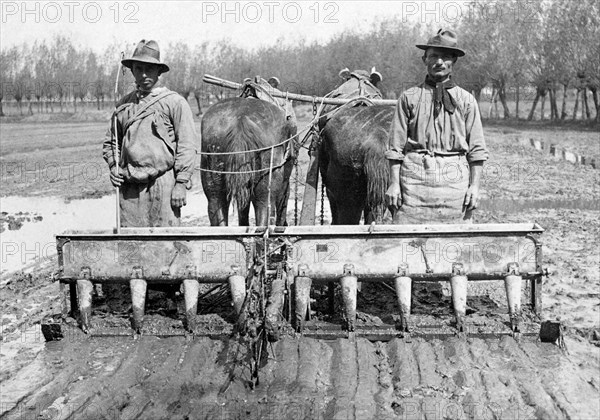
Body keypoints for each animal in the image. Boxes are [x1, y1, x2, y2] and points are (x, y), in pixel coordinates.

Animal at [200, 97, 296, 226]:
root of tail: (241, 119)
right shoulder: (284, 182)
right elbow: (283, 203)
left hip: (213, 176)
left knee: (216, 204)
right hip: (267, 180)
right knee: (265, 207)